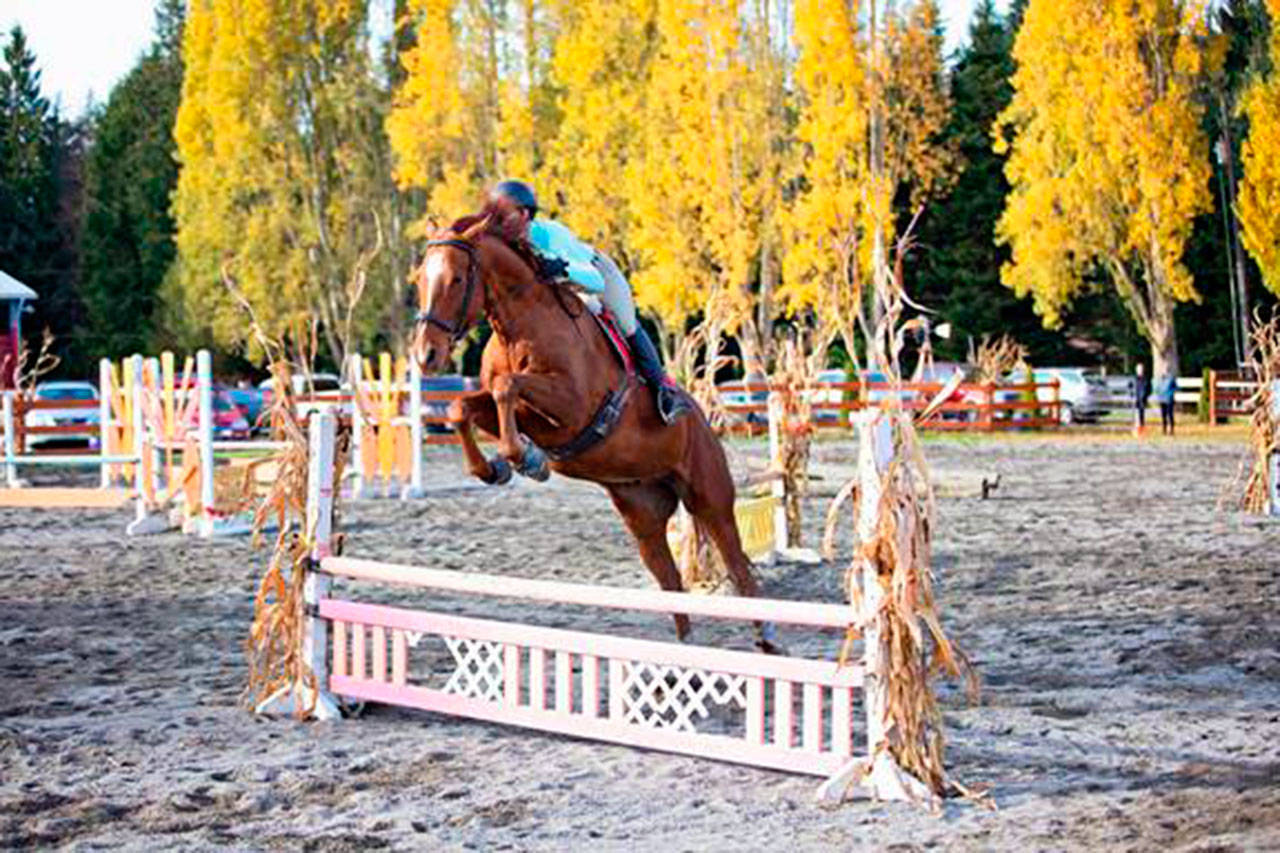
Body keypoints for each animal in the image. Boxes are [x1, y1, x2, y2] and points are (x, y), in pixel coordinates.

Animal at [409, 205, 782, 654]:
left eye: (457, 279)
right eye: (420, 280)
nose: (426, 355)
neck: (518, 326)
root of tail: (703, 421)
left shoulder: (572, 406)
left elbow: (506, 388)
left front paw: (524, 459)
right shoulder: (530, 414)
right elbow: (463, 406)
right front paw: (496, 467)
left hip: (709, 497)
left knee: (737, 563)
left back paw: (768, 639)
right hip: (641, 513)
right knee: (670, 580)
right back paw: (683, 655)